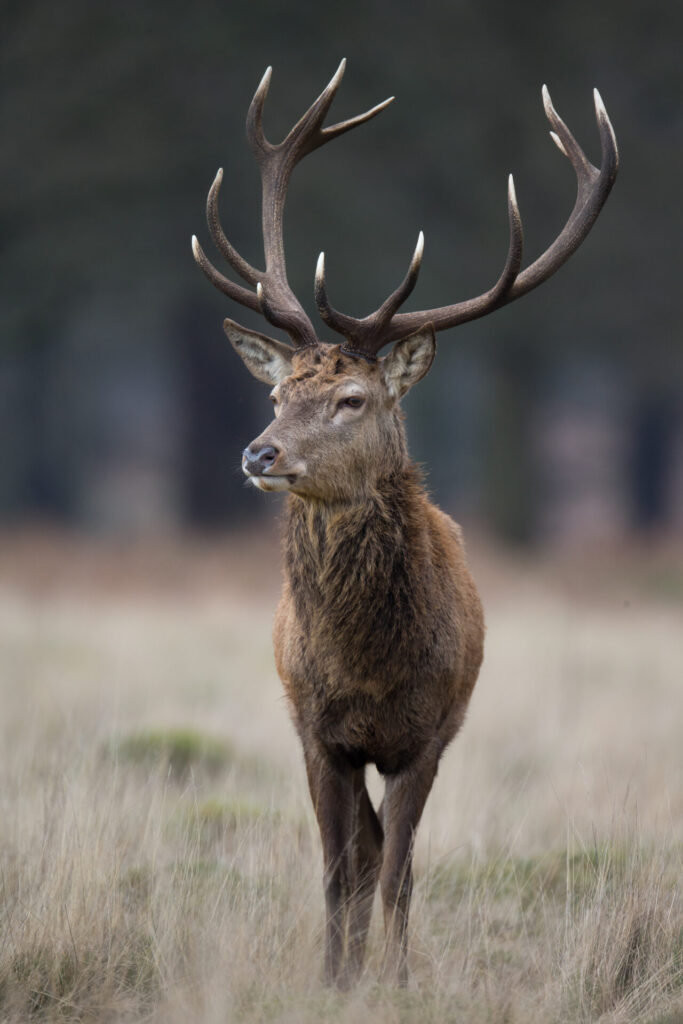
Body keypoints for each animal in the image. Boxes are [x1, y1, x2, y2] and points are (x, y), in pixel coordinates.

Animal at [192, 61, 618, 987]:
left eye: (351, 400)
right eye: (278, 393)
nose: (256, 452)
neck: (368, 667)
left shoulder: (426, 737)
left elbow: (396, 874)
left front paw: (391, 981)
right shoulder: (318, 734)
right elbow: (337, 869)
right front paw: (332, 980)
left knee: (391, 856)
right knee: (358, 852)